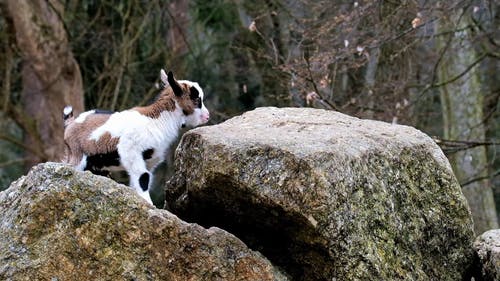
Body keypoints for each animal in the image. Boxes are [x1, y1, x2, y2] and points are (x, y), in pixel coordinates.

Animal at [62, 68, 209, 202]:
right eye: (196, 99)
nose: (207, 116)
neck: (156, 120)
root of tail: (71, 122)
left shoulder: (149, 161)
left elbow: (141, 181)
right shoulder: (130, 151)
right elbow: (143, 178)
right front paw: (149, 204)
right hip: (77, 156)